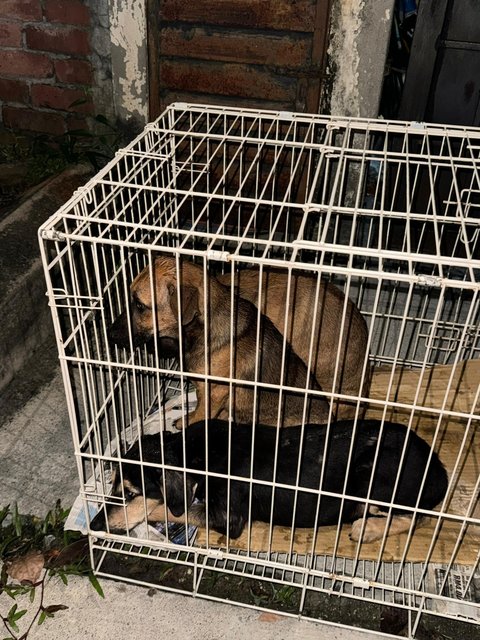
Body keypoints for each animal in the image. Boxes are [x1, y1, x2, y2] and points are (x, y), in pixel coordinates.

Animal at [92, 420, 448, 544]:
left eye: (129, 493)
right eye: (110, 486)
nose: (93, 525)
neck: (196, 452)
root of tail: (440, 470)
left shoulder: (228, 517)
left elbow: (165, 508)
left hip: (370, 475)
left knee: (418, 517)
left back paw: (368, 529)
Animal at [108, 256, 332, 430]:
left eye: (140, 305)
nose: (110, 334)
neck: (202, 329)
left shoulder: (214, 391)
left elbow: (200, 414)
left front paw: (187, 423)